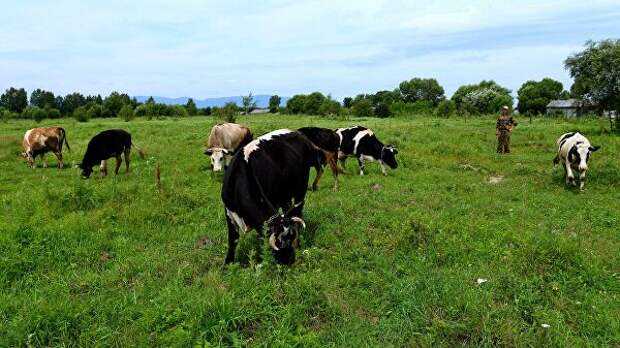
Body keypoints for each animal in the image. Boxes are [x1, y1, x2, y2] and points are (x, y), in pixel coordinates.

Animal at [220, 129, 324, 266]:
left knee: (298, 210)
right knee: (288, 209)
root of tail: (298, 133)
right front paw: (228, 264)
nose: (289, 261)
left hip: (301, 188)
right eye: (278, 244)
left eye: (291, 237)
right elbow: (233, 239)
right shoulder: (228, 211)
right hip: (284, 195)